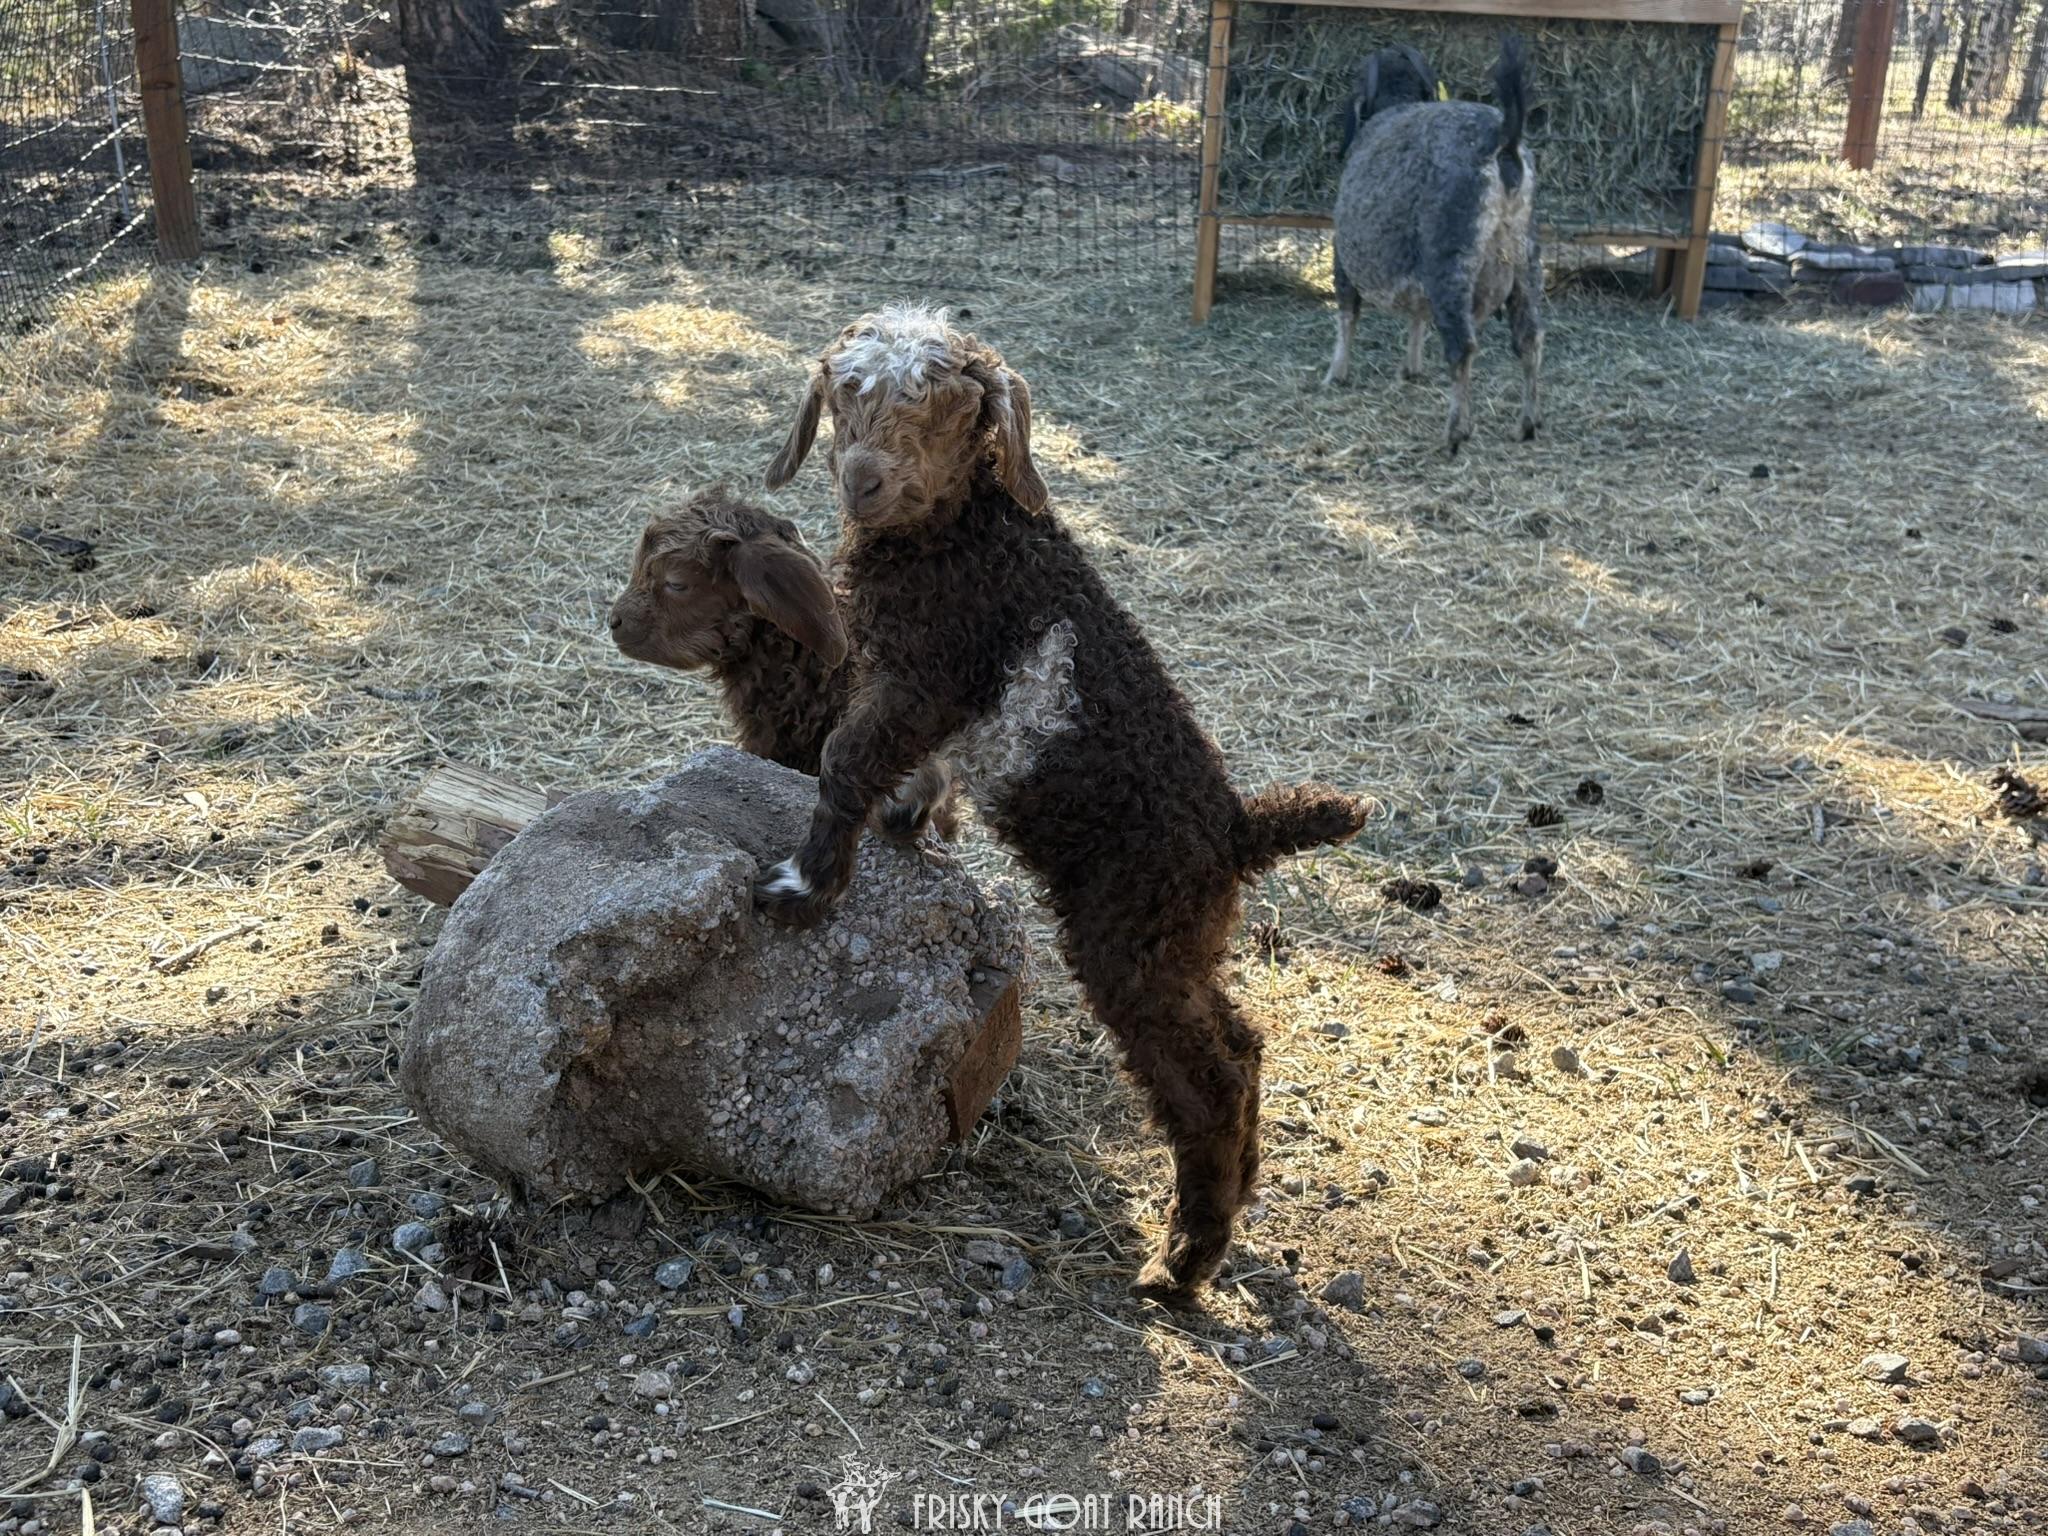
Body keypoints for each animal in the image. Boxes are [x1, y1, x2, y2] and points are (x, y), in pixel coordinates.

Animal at [756, 304, 1370, 1301]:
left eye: (944, 406)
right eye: (844, 394)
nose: (864, 479)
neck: (968, 533)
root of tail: (1237, 829)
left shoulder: (933, 670)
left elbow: (848, 756)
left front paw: (806, 885)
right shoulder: (911, 682)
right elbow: (901, 767)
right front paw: (907, 821)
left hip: (1129, 937)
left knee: (1206, 1082)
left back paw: (1184, 1259)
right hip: (1185, 941)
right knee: (1242, 1044)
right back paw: (1226, 1210)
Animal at [1324, 35, 1542, 453]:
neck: (1396, 99)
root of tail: (1503, 139)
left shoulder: (1343, 255)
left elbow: (1346, 313)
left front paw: (1335, 374)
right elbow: (1417, 316)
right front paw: (1412, 367)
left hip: (1450, 257)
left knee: (1462, 345)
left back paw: (1455, 432)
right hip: (1527, 260)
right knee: (1529, 339)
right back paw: (1526, 425)